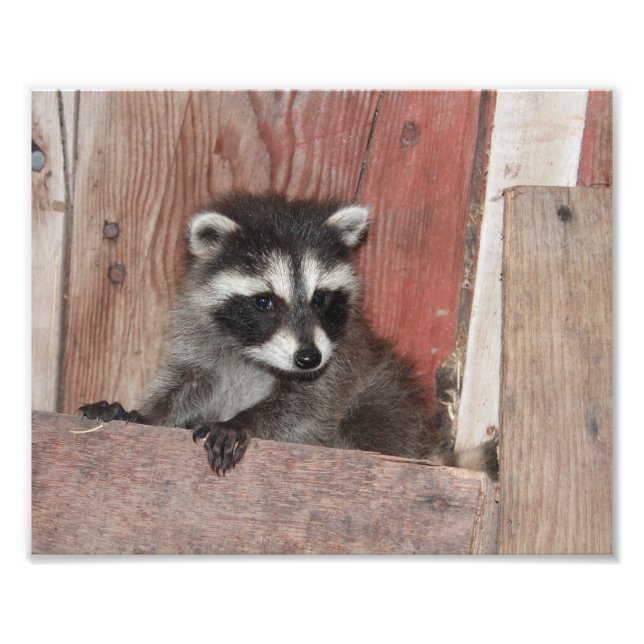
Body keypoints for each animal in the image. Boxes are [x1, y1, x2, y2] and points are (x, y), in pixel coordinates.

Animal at [80, 192, 497, 478]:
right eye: (265, 301)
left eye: (320, 298)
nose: (308, 358)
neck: (255, 355)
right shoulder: (203, 342)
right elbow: (188, 384)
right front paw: (144, 414)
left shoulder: (342, 361)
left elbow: (307, 404)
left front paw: (244, 421)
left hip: (387, 401)